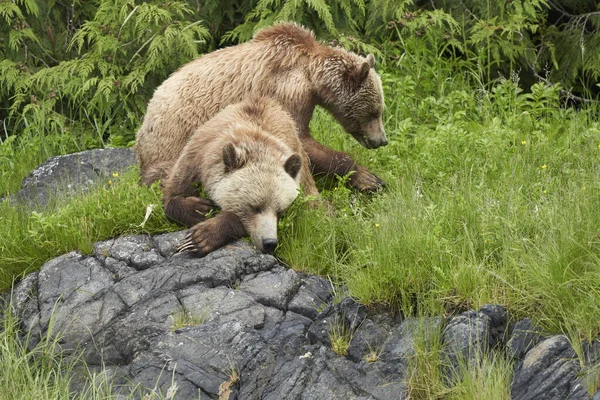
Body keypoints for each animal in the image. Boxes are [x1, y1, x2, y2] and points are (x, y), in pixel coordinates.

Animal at [136, 21, 386, 194]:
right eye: (374, 112)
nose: (382, 140)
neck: (311, 77)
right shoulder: (285, 91)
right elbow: (296, 136)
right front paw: (369, 178)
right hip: (171, 142)